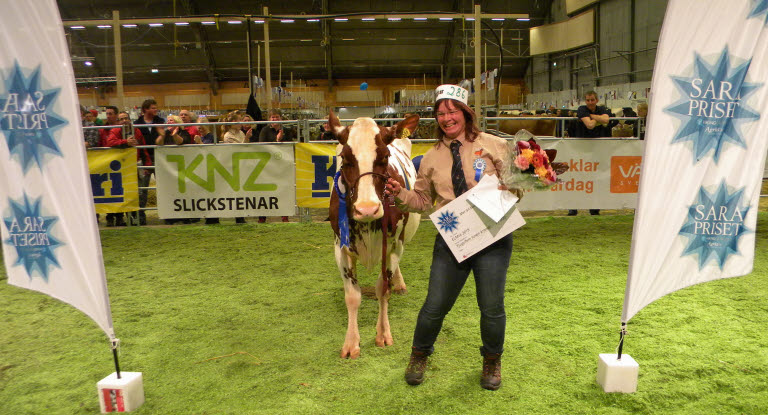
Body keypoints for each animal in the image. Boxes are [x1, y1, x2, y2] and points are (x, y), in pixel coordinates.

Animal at [328, 111, 421, 359]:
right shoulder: (340, 247)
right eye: (345, 158)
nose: (367, 208)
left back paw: (399, 283)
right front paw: (351, 343)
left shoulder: (394, 245)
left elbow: (382, 289)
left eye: (385, 156)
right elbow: (352, 296)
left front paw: (383, 334)